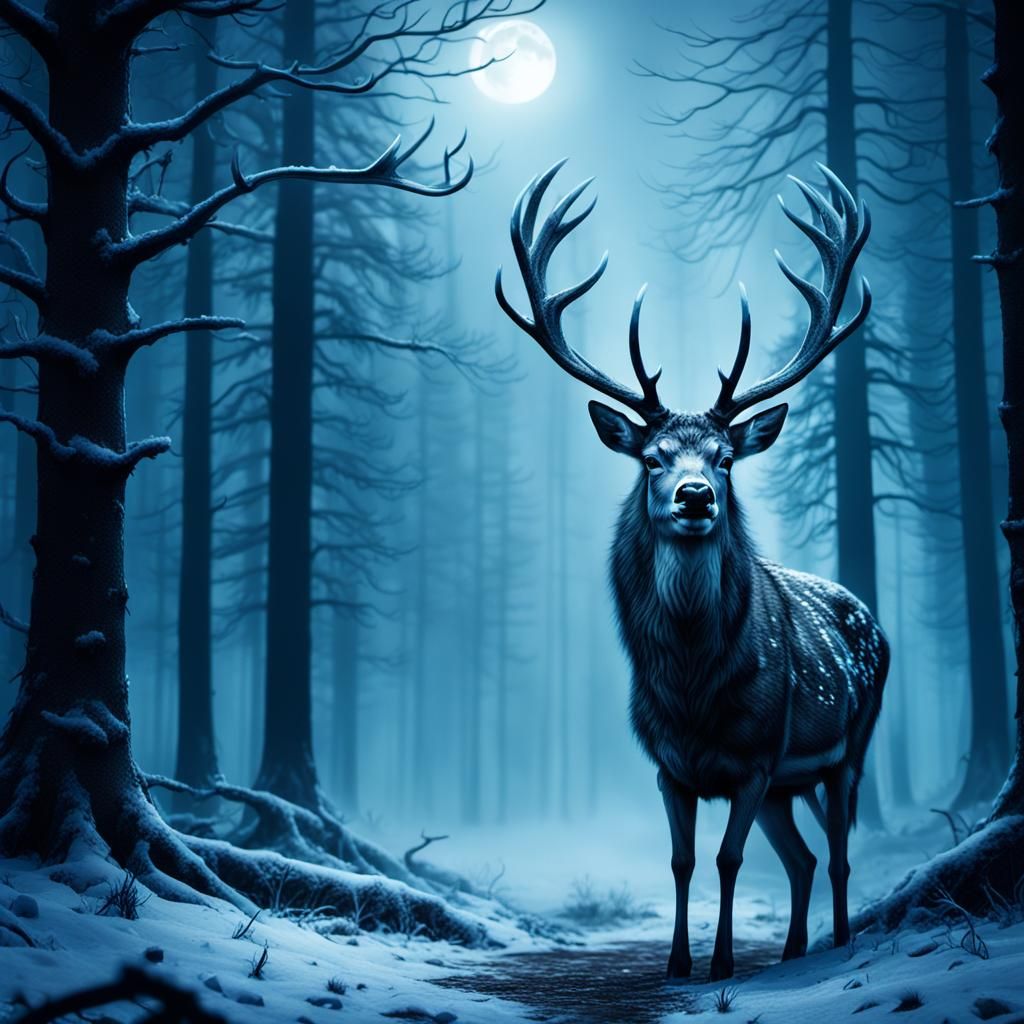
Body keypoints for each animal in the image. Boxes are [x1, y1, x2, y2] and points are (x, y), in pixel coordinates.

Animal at [496, 162, 889, 983]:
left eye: (726, 458)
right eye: (652, 458)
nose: (696, 496)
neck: (692, 689)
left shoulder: (756, 759)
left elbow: (727, 861)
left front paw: (720, 964)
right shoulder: (669, 765)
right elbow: (680, 862)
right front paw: (679, 962)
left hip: (850, 748)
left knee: (837, 856)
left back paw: (836, 942)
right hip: (789, 785)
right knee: (803, 859)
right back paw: (795, 950)